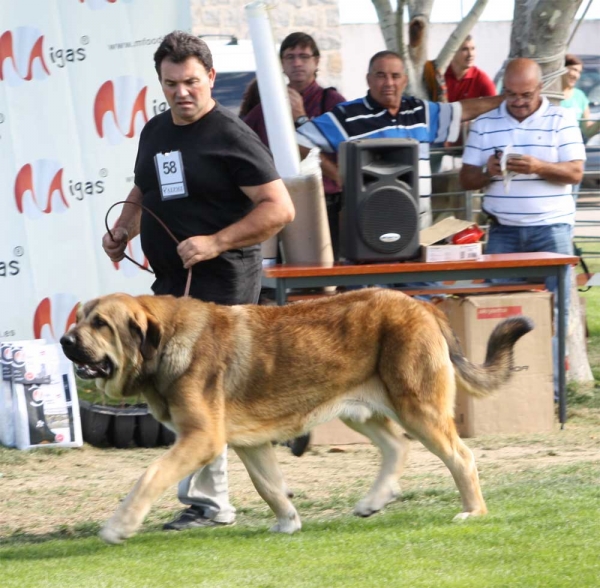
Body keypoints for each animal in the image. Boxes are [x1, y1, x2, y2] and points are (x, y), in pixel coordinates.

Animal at [59, 288, 528, 544]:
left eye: (100, 324)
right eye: (79, 317)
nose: (64, 341)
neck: (167, 340)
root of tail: (423, 306)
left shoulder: (202, 438)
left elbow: (149, 477)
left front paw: (119, 527)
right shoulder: (249, 444)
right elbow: (269, 486)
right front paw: (289, 522)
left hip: (417, 407)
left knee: (461, 458)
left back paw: (473, 511)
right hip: (362, 410)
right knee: (397, 446)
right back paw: (373, 501)